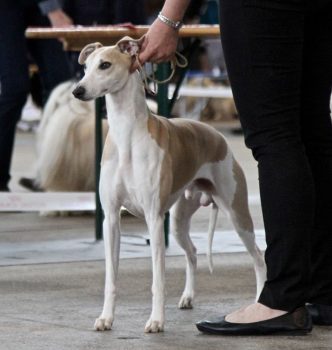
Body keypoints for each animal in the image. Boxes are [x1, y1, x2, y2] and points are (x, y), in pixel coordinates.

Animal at [73, 37, 268, 334]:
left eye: (105, 65)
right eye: (85, 67)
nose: (77, 90)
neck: (127, 135)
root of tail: (216, 135)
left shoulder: (153, 218)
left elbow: (158, 280)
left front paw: (156, 321)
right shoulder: (111, 219)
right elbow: (111, 278)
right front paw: (106, 318)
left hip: (237, 214)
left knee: (258, 257)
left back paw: (258, 303)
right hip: (178, 222)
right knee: (194, 253)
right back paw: (188, 297)